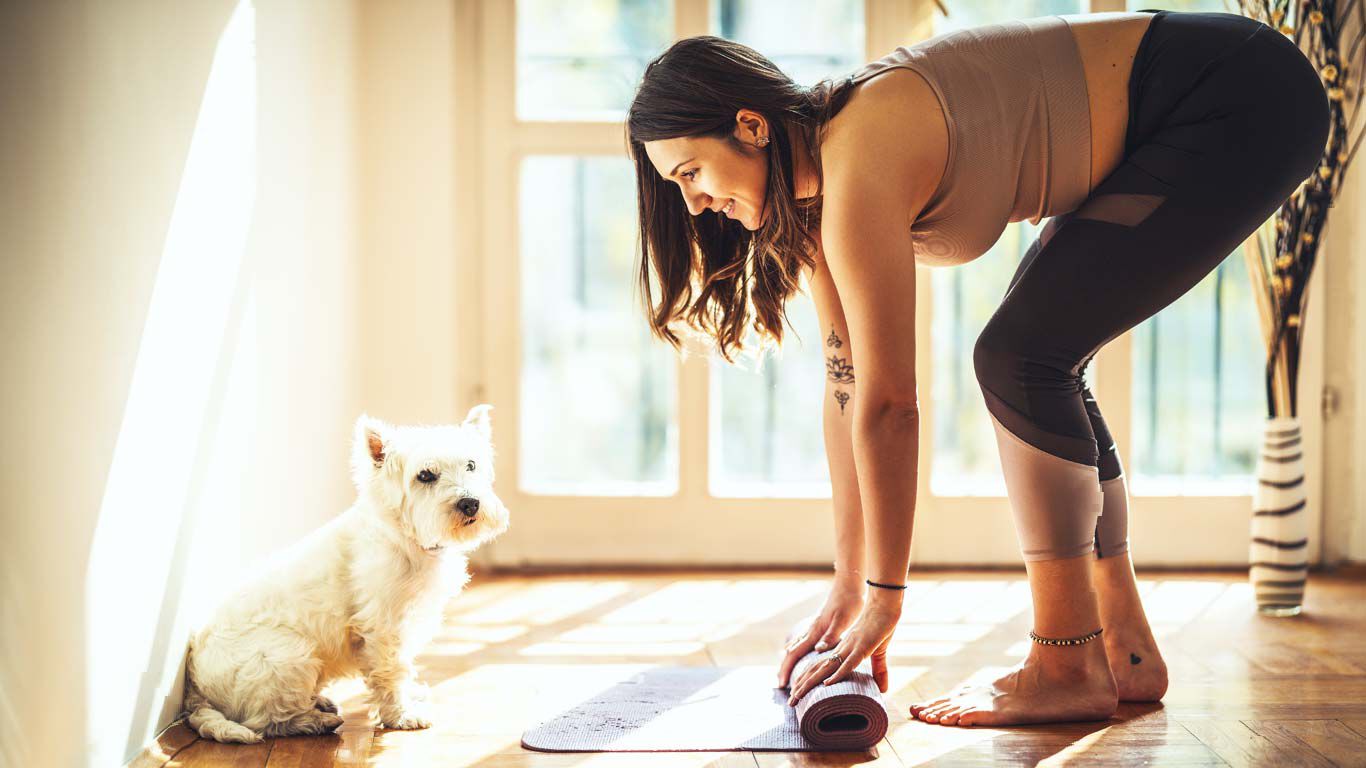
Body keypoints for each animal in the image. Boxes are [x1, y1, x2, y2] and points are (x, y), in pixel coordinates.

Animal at [181, 407, 513, 743]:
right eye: (425, 475)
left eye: (471, 465)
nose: (470, 503)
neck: (405, 538)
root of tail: (196, 685)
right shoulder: (384, 626)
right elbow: (392, 671)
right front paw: (401, 715)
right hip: (286, 655)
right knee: (267, 720)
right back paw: (315, 720)